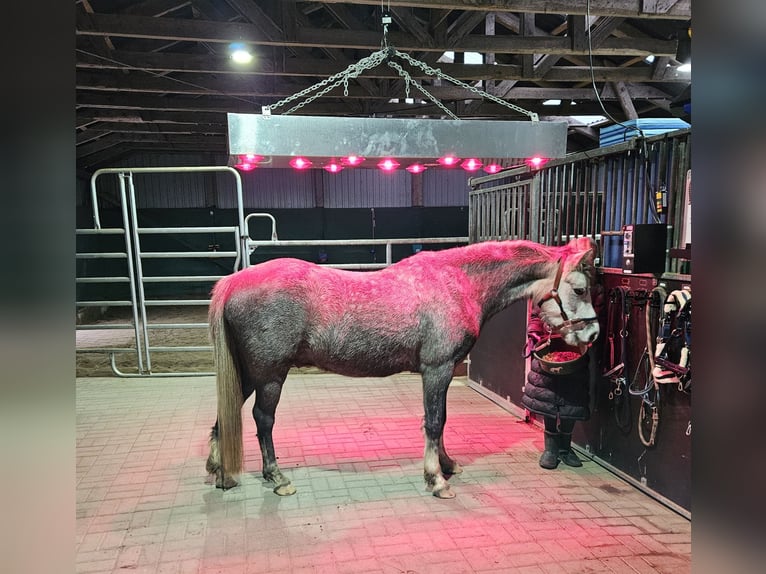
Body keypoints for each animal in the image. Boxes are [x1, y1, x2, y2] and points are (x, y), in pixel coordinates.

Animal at [205, 236, 600, 498]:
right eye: (580, 289)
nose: (593, 333)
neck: (457, 283)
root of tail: (233, 281)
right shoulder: (438, 368)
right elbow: (435, 422)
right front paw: (437, 480)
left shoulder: (443, 371)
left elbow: (441, 421)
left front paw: (447, 464)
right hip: (270, 376)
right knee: (263, 420)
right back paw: (276, 477)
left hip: (248, 374)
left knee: (227, 413)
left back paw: (220, 472)